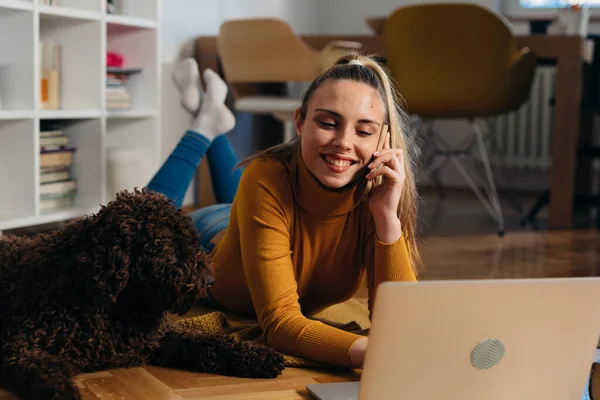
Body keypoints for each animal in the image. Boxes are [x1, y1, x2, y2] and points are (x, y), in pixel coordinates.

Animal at [0, 189, 284, 398]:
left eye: (192, 241)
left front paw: (258, 356)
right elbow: (47, 372)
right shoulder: (20, 348)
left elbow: (210, 342)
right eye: (172, 247)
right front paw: (64, 391)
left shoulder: (162, 336)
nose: (210, 281)